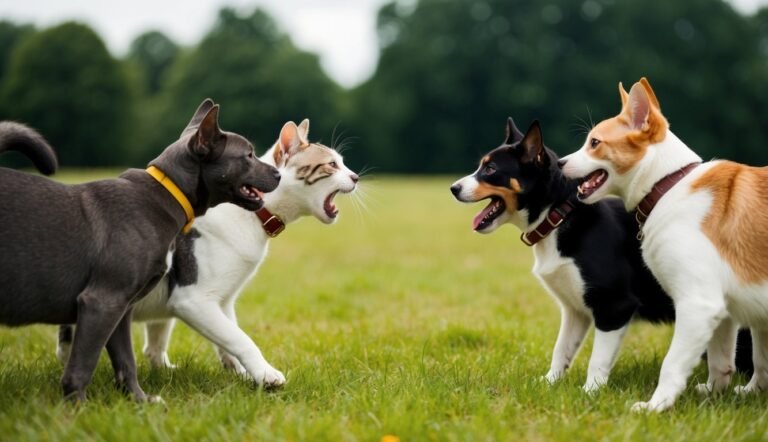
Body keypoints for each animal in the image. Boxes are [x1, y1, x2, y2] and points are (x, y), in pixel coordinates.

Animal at [0, 99, 280, 400]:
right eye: (248, 155)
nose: (278, 173)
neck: (166, 195)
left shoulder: (120, 307)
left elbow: (126, 361)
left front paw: (139, 401)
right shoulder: (102, 301)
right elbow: (83, 366)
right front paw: (77, 408)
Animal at [450, 119, 752, 392]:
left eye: (490, 169)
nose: (453, 188)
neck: (558, 217)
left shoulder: (615, 306)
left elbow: (598, 358)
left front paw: (590, 393)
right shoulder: (574, 310)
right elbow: (561, 350)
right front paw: (549, 383)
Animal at [560, 77, 768, 412]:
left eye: (594, 143)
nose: (559, 163)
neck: (668, 185)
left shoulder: (698, 304)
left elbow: (672, 364)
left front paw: (655, 407)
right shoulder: (724, 311)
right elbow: (725, 363)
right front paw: (718, 395)